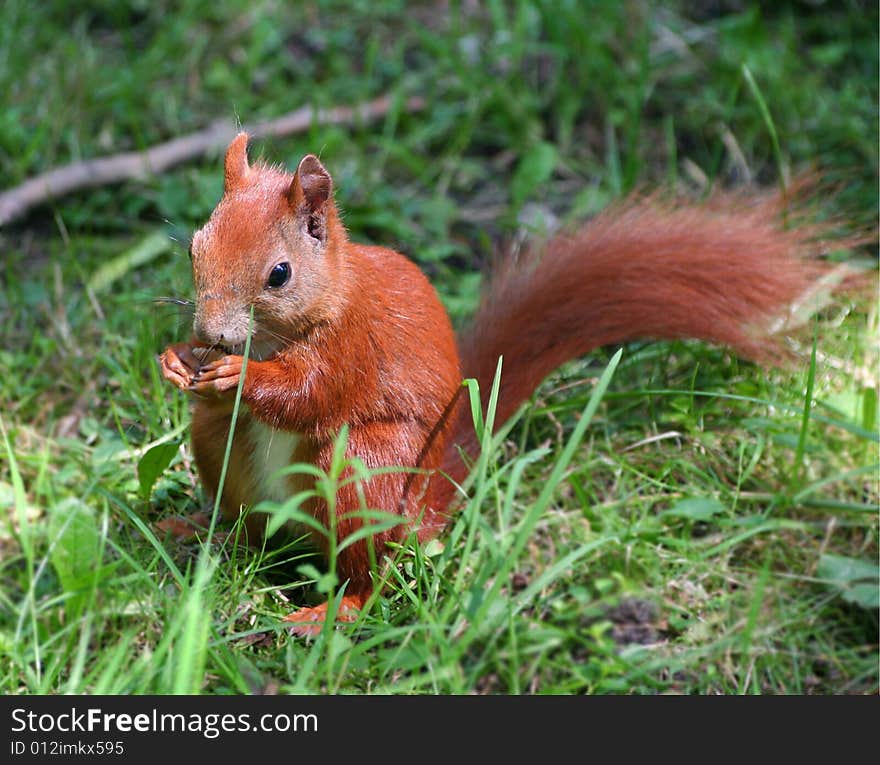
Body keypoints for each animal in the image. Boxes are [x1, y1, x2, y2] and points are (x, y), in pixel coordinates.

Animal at [158, 130, 860, 632]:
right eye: (195, 246)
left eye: (279, 274)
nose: (212, 332)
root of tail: (424, 513)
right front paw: (177, 358)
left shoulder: (351, 346)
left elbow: (308, 394)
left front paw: (238, 373)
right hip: (220, 447)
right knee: (246, 521)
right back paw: (194, 528)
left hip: (364, 468)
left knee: (368, 572)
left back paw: (334, 610)